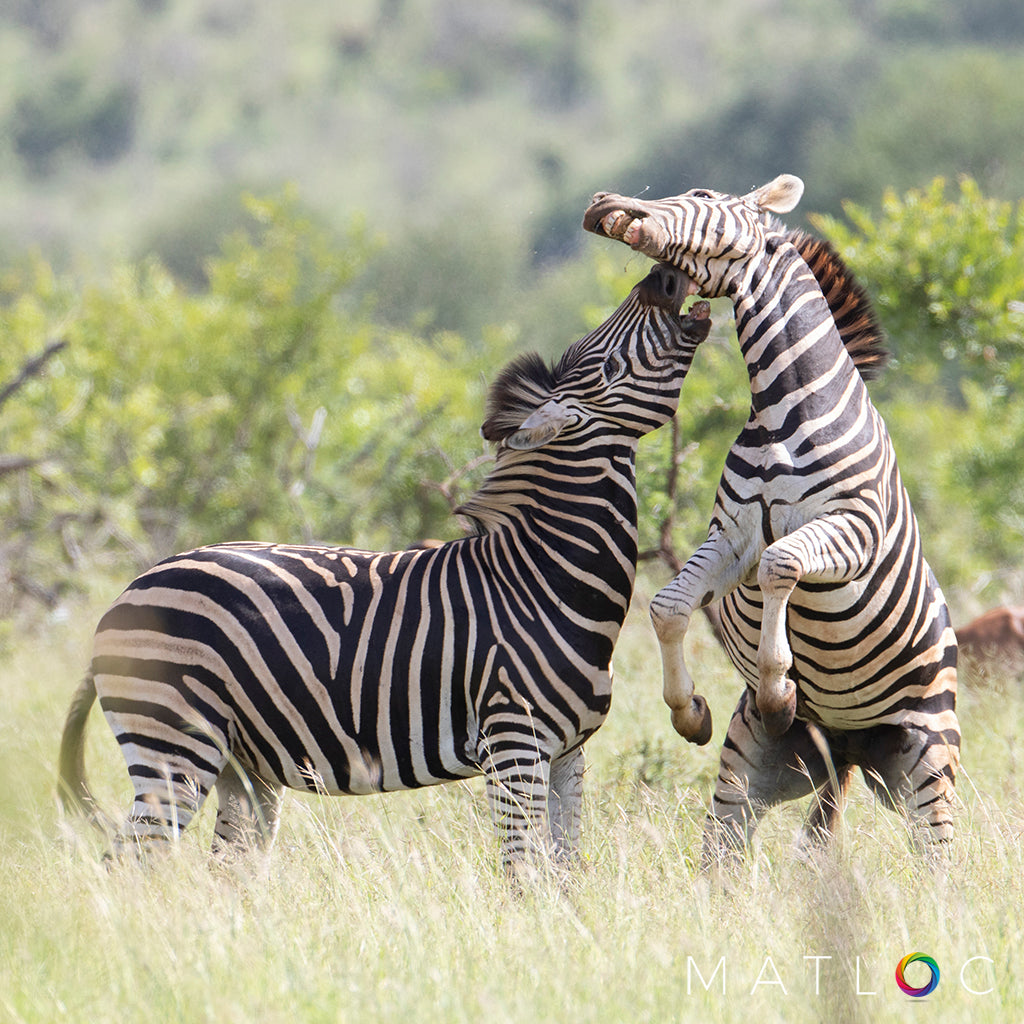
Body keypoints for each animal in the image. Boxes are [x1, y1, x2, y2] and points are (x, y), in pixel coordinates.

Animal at [56, 262, 712, 872]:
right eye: (608, 367)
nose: (664, 275)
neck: (546, 579)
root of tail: (128, 593)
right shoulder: (514, 743)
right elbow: (522, 872)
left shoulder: (568, 751)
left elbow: (566, 871)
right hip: (174, 745)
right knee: (133, 864)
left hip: (240, 764)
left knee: (222, 868)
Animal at [585, 178, 958, 864]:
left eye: (703, 195)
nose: (601, 205)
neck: (785, 405)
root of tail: (845, 744)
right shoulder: (731, 536)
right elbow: (669, 606)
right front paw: (687, 709)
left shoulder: (854, 527)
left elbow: (780, 563)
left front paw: (780, 687)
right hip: (752, 769)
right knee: (727, 853)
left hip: (927, 760)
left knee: (939, 858)